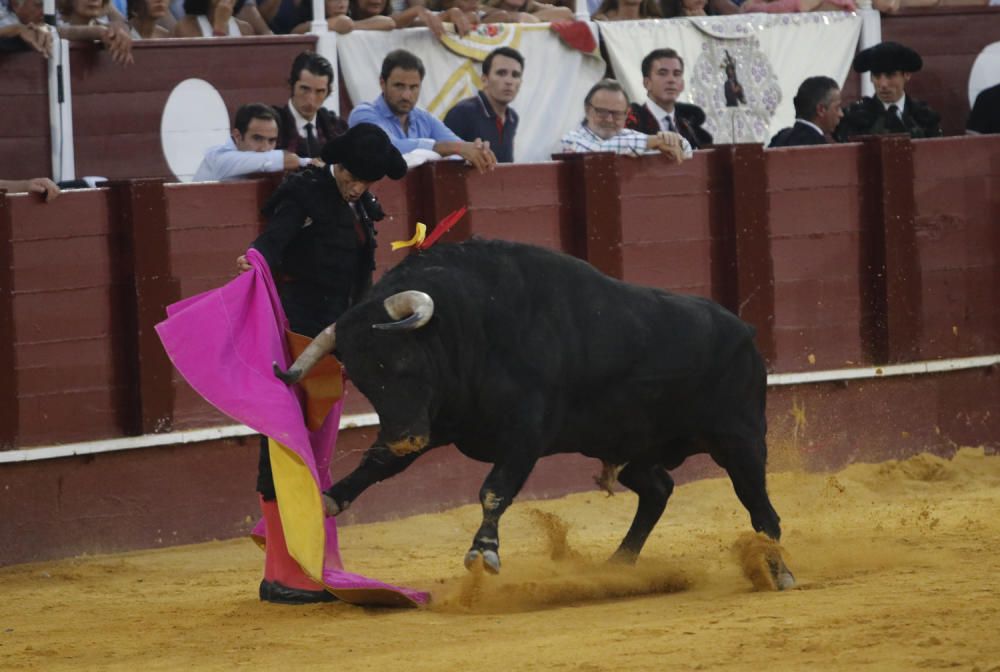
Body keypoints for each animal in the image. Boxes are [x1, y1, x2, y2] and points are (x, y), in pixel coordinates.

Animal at [274, 238, 796, 588]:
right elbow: (377, 464)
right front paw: (323, 501)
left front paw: (484, 553)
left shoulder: (524, 434)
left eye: (402, 361)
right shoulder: (437, 420)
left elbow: (494, 491)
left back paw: (778, 570)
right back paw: (618, 566)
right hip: (639, 449)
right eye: (361, 379)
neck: (469, 324)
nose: (405, 438)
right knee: (658, 489)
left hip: (741, 440)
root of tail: (746, 332)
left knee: (762, 510)